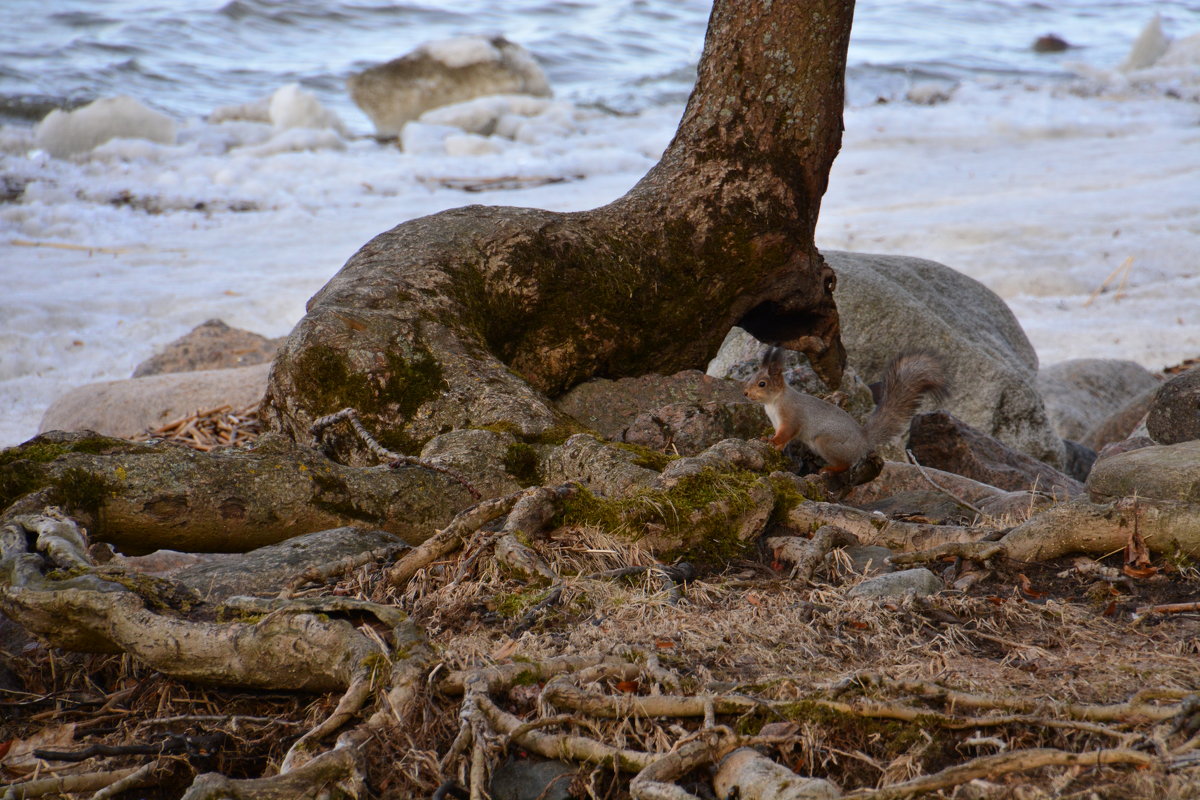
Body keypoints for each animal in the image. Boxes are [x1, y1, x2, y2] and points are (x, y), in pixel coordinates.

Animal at [739, 347, 945, 472]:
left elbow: (786, 433)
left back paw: (829, 469)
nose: (745, 393)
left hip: (826, 442)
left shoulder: (791, 417)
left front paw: (769, 440)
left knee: (846, 465)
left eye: (762, 383)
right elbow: (783, 439)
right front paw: (775, 445)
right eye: (750, 378)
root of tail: (864, 440)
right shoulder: (778, 423)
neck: (774, 402)